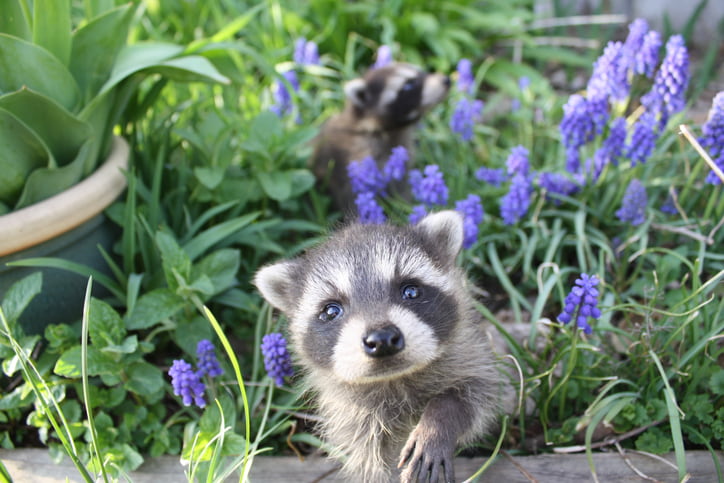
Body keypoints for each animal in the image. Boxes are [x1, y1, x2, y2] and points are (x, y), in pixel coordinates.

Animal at [253, 210, 498, 482]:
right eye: (331, 310)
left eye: (411, 291)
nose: (382, 339)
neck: (395, 379)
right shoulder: (354, 418)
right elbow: (370, 460)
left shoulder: (471, 356)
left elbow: (476, 392)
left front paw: (436, 425)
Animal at [312, 62, 452, 210]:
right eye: (409, 84)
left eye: (423, 72)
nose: (446, 80)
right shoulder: (349, 159)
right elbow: (350, 198)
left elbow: (401, 188)